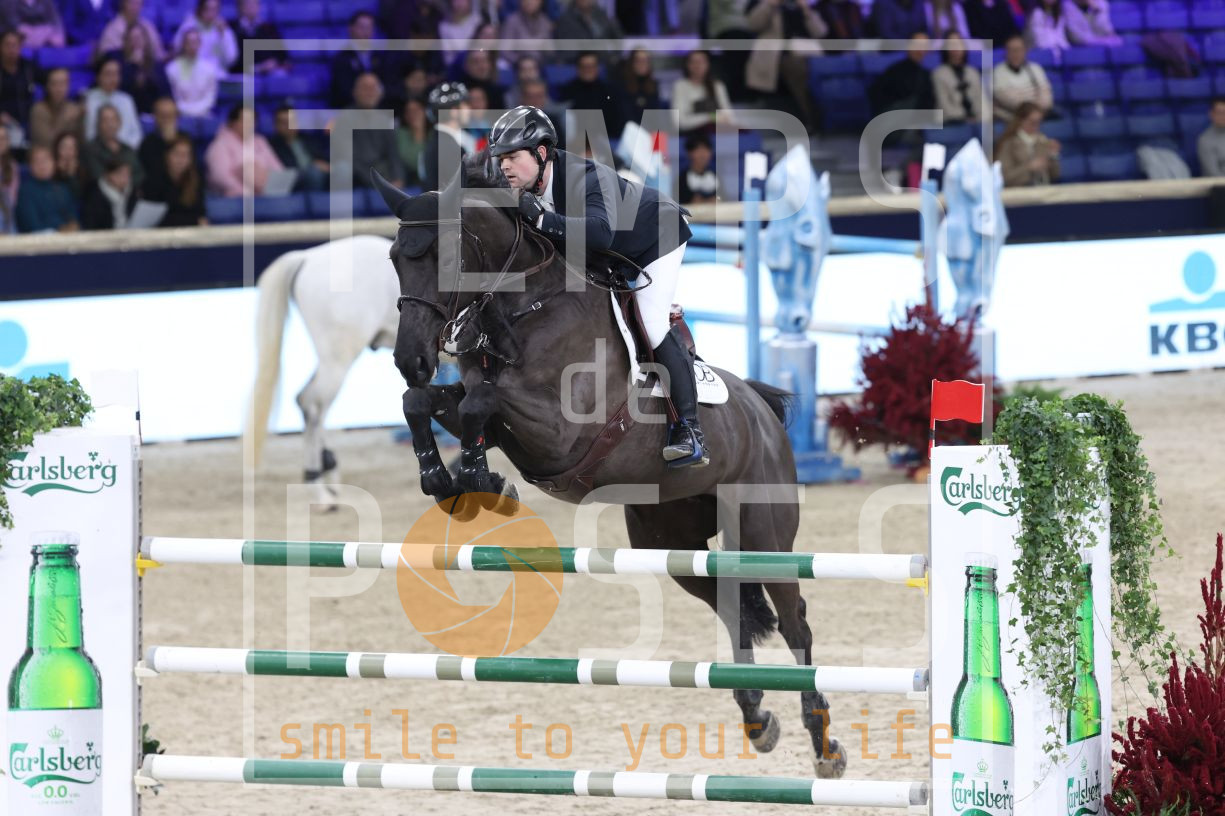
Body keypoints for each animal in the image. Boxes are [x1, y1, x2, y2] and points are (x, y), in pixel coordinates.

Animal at [246, 234, 399, 504]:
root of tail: (307, 257)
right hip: (338, 361)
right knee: (312, 405)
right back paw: (319, 489)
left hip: (330, 361)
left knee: (310, 405)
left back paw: (328, 474)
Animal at [369, 154, 849, 779]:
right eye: (396, 259)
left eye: (444, 258)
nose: (411, 359)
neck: (524, 306)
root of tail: (763, 412)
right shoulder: (497, 413)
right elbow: (426, 403)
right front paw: (453, 480)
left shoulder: (560, 430)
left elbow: (480, 403)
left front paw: (475, 479)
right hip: (671, 540)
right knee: (730, 606)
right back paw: (756, 719)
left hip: (764, 535)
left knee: (795, 622)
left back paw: (824, 743)